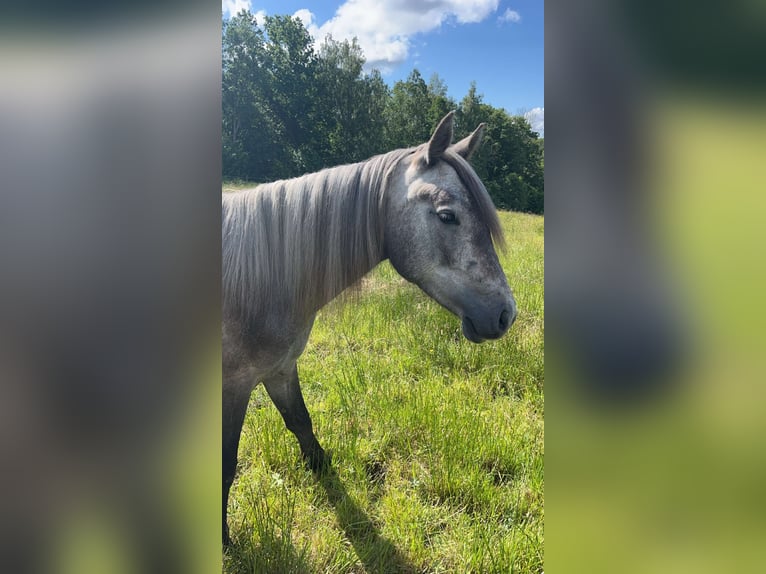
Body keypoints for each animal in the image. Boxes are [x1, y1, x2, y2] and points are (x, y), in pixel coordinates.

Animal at [225, 113, 520, 548]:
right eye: (447, 215)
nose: (505, 314)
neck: (256, 278)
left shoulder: (279, 369)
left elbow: (302, 424)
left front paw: (324, 473)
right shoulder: (235, 385)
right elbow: (227, 464)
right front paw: (223, 541)